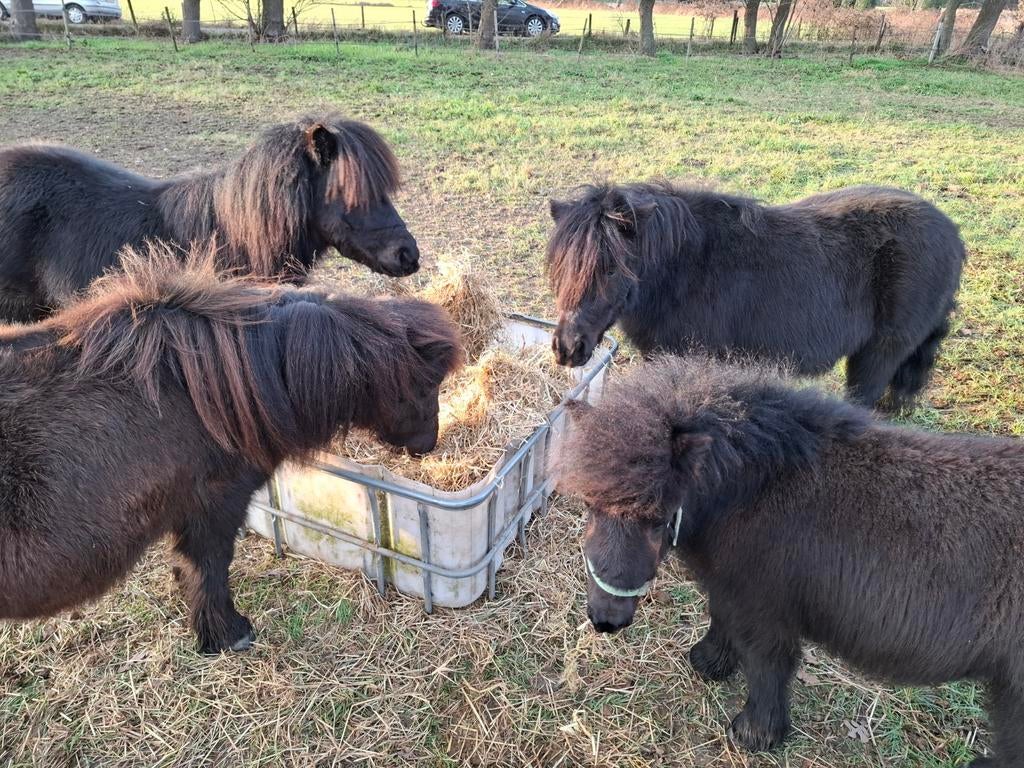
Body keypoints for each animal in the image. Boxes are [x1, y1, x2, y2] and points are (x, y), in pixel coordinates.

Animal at [0, 243, 462, 653]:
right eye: (427, 384)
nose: (428, 445)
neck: (214, 388)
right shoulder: (215, 506)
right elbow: (209, 568)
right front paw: (227, 634)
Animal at [546, 182, 966, 410]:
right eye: (561, 265)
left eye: (611, 268)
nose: (567, 348)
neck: (687, 268)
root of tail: (953, 234)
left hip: (878, 356)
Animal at [558, 356, 1024, 767]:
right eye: (589, 505)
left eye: (658, 519)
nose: (606, 620)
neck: (754, 489)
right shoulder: (732, 590)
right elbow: (721, 621)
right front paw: (709, 663)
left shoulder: (765, 611)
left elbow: (767, 665)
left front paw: (755, 734)